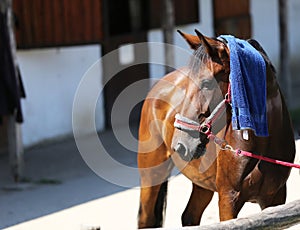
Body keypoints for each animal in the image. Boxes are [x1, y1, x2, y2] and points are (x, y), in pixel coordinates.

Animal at [138, 30, 296, 228]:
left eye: (206, 83)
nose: (180, 144)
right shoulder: (228, 199)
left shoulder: (275, 198)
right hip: (151, 175)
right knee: (146, 219)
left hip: (202, 182)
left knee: (189, 216)